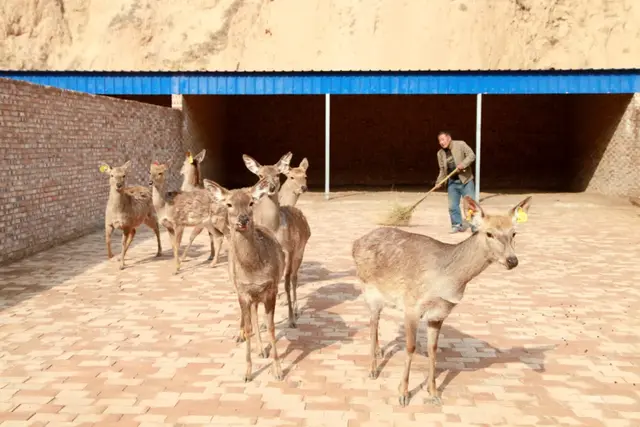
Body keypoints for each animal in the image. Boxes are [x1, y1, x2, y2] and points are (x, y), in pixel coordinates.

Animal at [204, 176, 284, 382]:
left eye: (251, 203)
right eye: (229, 204)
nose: (243, 219)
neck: (253, 271)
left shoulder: (271, 288)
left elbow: (271, 327)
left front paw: (277, 370)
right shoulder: (243, 291)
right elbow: (249, 328)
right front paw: (247, 373)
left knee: (256, 315)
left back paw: (261, 349)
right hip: (236, 285)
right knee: (248, 316)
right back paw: (247, 340)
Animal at [241, 152, 312, 330]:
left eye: (277, 174)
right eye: (260, 175)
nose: (271, 187)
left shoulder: (290, 250)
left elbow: (286, 282)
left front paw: (291, 320)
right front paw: (263, 324)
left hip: (300, 251)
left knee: (294, 277)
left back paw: (296, 310)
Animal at [352, 196, 532, 406]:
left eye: (514, 233)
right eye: (489, 233)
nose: (512, 261)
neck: (449, 282)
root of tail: (356, 243)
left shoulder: (439, 313)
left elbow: (433, 350)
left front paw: (433, 392)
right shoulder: (412, 306)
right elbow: (410, 347)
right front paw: (403, 394)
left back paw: (380, 352)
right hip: (369, 291)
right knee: (372, 324)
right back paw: (373, 369)